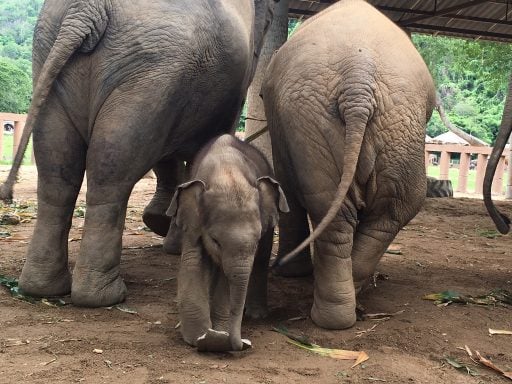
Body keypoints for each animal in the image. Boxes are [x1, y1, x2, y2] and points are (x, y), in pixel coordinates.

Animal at [0, 0, 276, 306]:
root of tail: (85, 10)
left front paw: (160, 225)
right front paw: (173, 242)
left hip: (62, 61)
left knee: (59, 166)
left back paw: (44, 288)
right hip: (152, 72)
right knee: (111, 168)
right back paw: (106, 296)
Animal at [167, 134, 288, 352]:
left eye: (257, 239)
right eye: (215, 241)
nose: (242, 344)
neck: (226, 172)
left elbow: (227, 277)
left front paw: (215, 334)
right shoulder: (192, 221)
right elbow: (192, 262)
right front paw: (200, 337)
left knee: (260, 260)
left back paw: (256, 314)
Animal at [264, 0, 436, 330]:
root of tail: (359, 79)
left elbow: (287, 187)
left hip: (320, 118)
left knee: (336, 209)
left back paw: (333, 313)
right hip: (398, 122)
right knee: (391, 209)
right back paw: (350, 301)